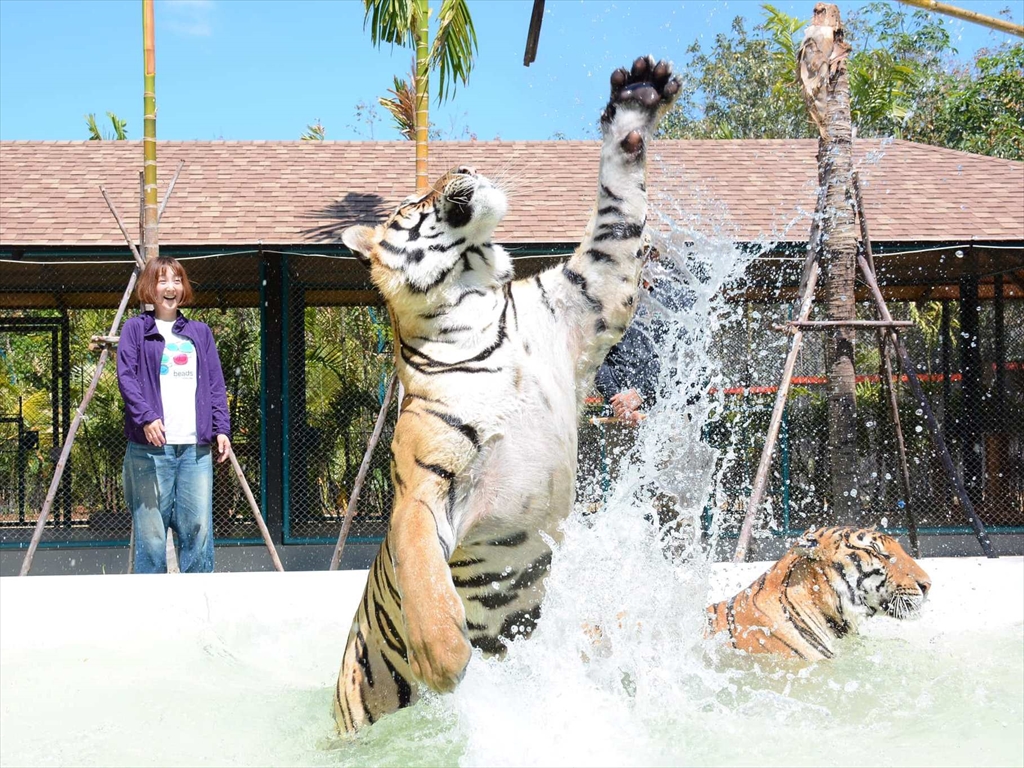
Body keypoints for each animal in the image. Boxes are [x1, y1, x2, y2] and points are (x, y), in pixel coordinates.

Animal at [335, 55, 684, 733]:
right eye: (411, 201)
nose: (467, 168)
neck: (478, 298)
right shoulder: (425, 482)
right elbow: (422, 568)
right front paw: (447, 661)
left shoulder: (594, 290)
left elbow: (619, 205)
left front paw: (637, 100)